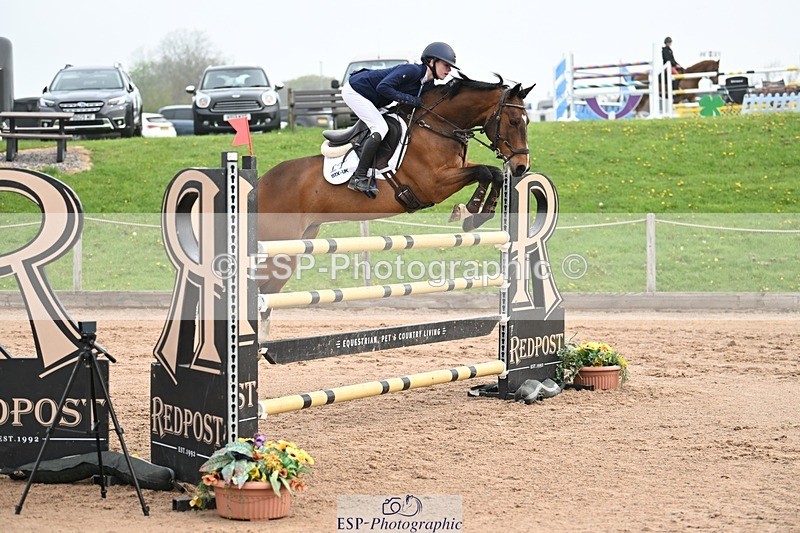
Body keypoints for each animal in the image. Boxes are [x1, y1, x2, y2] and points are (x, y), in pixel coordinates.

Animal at [255, 75, 533, 339]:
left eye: (526, 121)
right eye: (513, 121)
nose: (521, 166)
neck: (438, 127)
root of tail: (261, 183)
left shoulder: (455, 171)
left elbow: (493, 173)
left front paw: (477, 213)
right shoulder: (434, 184)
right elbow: (485, 171)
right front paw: (470, 210)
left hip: (294, 247)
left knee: (267, 293)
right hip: (277, 243)